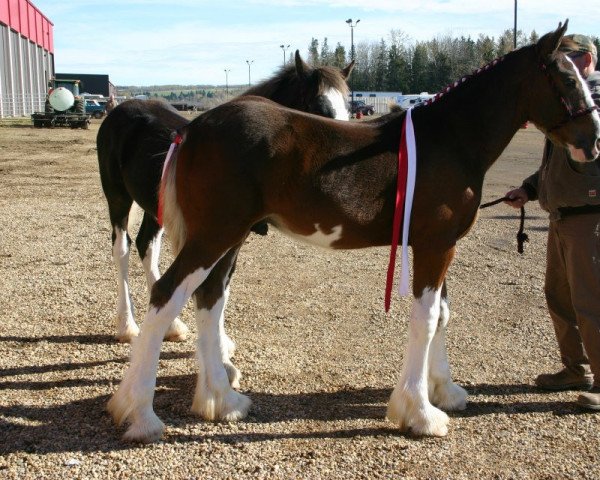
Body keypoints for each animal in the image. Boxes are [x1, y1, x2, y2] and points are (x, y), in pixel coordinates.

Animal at [96, 51, 354, 342]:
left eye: (348, 108)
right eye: (319, 109)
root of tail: (121, 109)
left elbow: (221, 285)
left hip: (156, 208)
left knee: (147, 246)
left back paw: (173, 327)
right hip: (117, 198)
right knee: (122, 248)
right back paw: (127, 325)